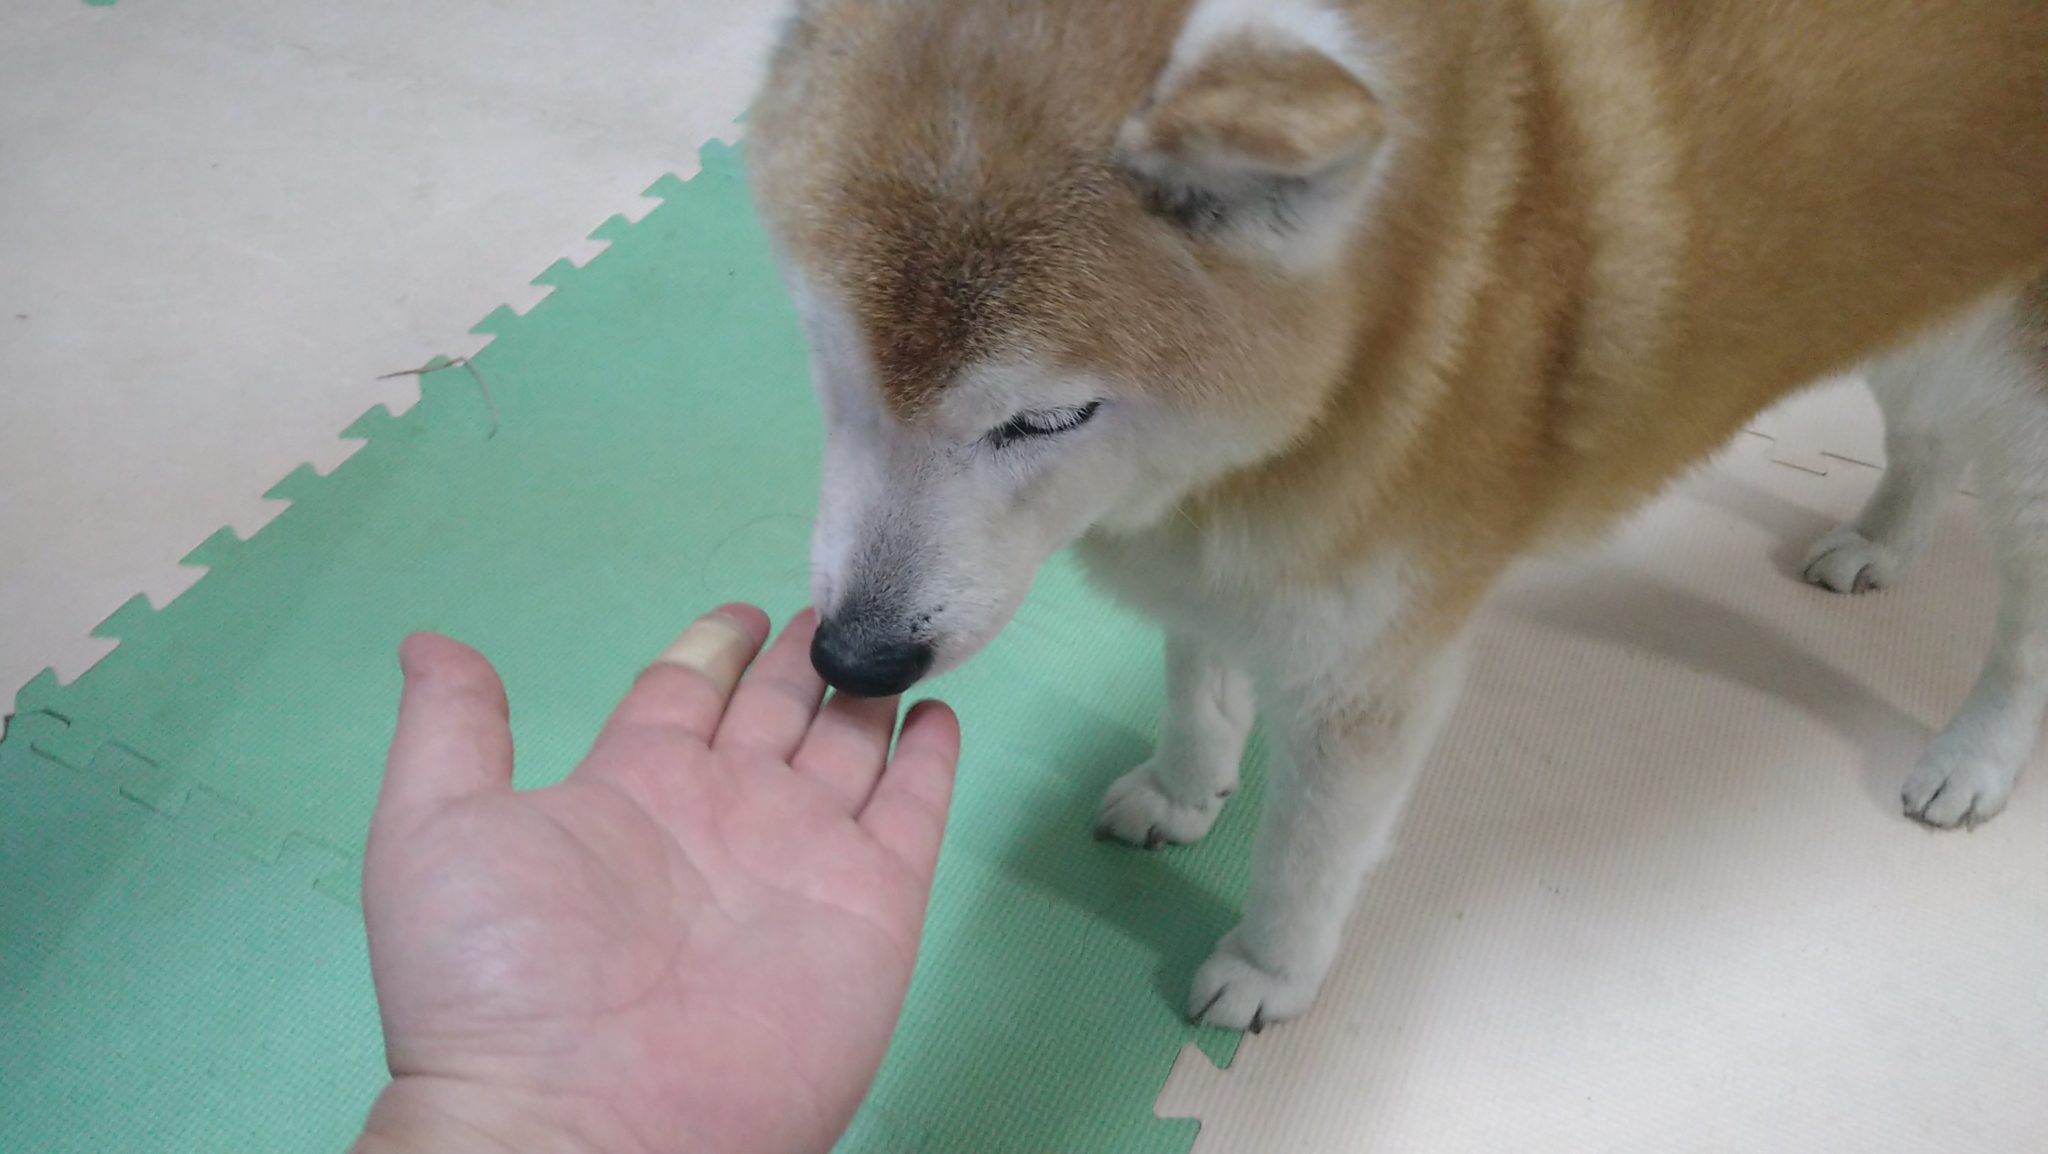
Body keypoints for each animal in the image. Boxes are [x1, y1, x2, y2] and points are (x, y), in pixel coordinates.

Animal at [743, 0, 2048, 1030]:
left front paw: (1264, 973)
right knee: (1928, 438)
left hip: (2015, 409)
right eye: (831, 363)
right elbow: (1194, 688)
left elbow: (1301, 855)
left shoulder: (1362, 674)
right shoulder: (1216, 565)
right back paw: (1877, 542)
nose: (853, 659)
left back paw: (1970, 758)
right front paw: (1181, 789)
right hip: (1913, 313)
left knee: (2021, 626)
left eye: (1044, 419)